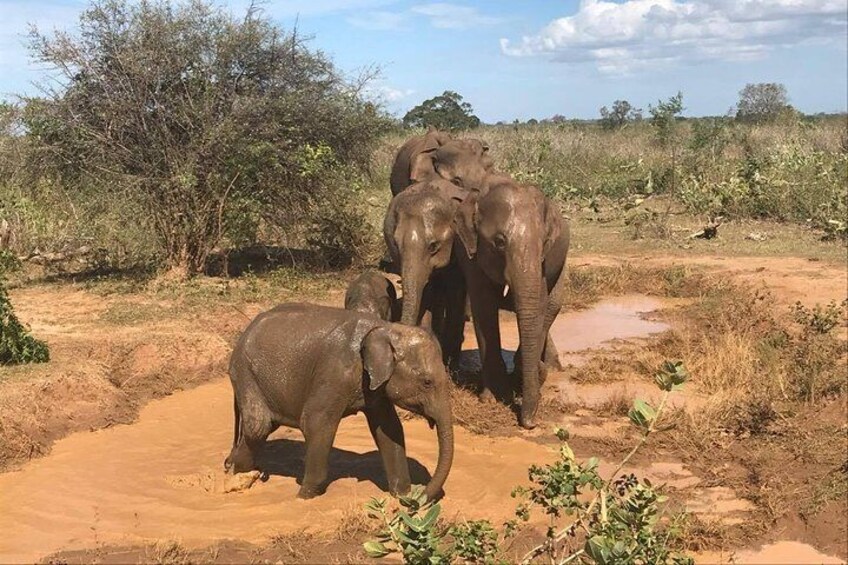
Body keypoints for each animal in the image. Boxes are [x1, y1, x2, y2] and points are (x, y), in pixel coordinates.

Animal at [222, 302, 454, 500]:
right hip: (245, 372)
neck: (385, 328)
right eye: (427, 382)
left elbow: (389, 428)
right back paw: (238, 476)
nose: (420, 496)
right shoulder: (335, 373)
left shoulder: (375, 387)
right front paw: (304, 497)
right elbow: (315, 422)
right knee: (258, 426)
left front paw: (402, 496)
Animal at [454, 176, 572, 428]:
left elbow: (539, 305)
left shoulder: (543, 265)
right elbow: (484, 308)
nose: (530, 423)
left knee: (552, 307)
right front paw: (492, 397)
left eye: (545, 242)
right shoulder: (473, 255)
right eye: (499, 242)